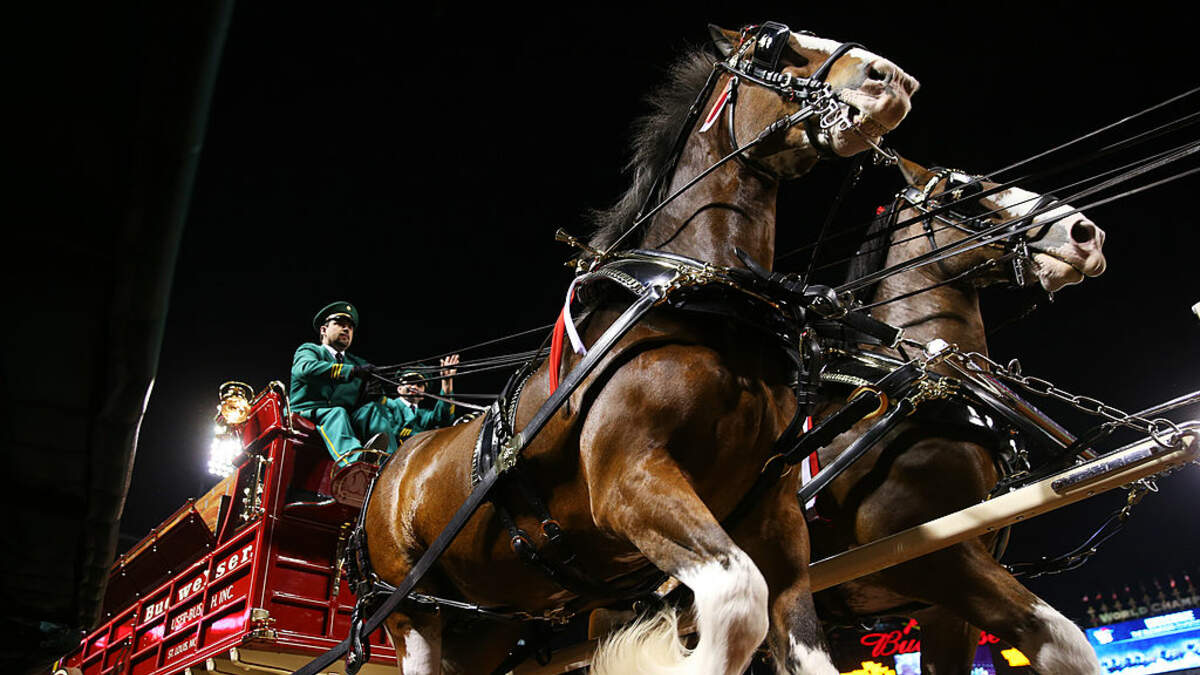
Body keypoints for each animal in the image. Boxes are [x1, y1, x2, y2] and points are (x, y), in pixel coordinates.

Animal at [360, 22, 912, 672]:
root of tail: (393, 463)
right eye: (775, 44)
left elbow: (801, 642)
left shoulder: (772, 517)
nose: (892, 78)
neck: (705, 303)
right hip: (413, 610)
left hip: (488, 623)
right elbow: (737, 603)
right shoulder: (631, 480)